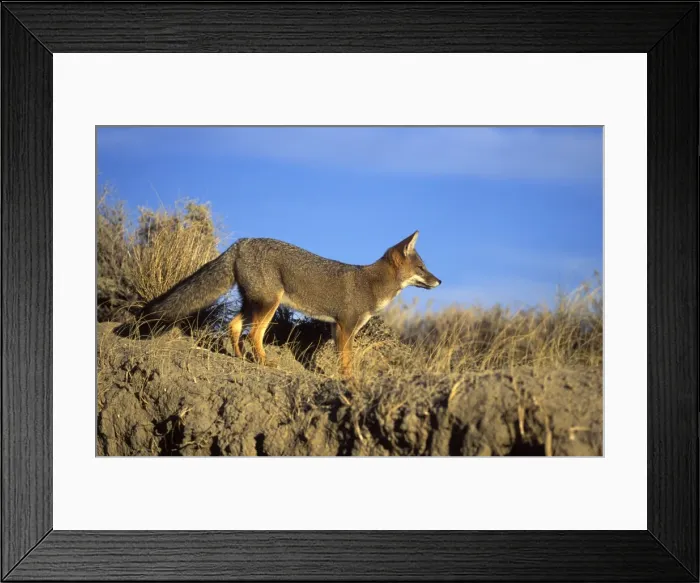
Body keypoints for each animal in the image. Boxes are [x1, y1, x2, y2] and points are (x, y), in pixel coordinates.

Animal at [138, 231, 441, 377]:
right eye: (422, 268)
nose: (439, 280)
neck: (371, 283)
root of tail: (241, 242)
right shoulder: (345, 327)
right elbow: (347, 362)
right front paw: (350, 382)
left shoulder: (337, 328)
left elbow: (341, 359)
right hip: (268, 305)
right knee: (253, 335)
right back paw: (263, 362)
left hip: (253, 304)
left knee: (234, 327)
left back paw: (240, 357)